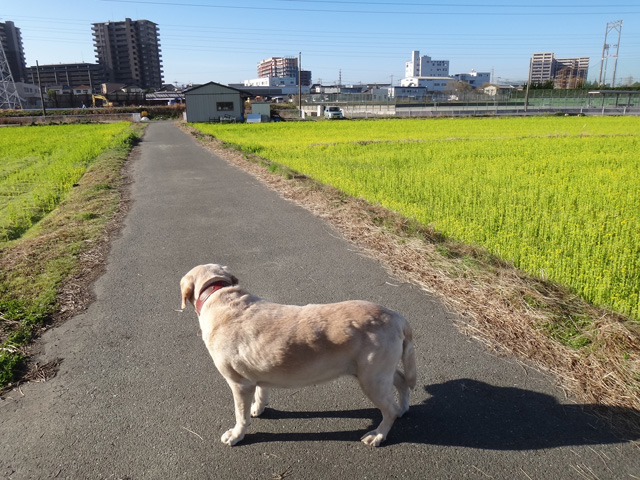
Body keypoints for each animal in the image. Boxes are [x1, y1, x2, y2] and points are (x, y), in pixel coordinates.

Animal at [181, 262, 420, 446]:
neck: (219, 295)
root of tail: (397, 317)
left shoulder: (239, 383)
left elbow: (240, 414)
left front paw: (236, 434)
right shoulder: (260, 371)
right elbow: (262, 392)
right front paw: (258, 408)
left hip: (372, 379)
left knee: (389, 410)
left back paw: (378, 435)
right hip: (379, 371)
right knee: (402, 382)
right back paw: (403, 408)